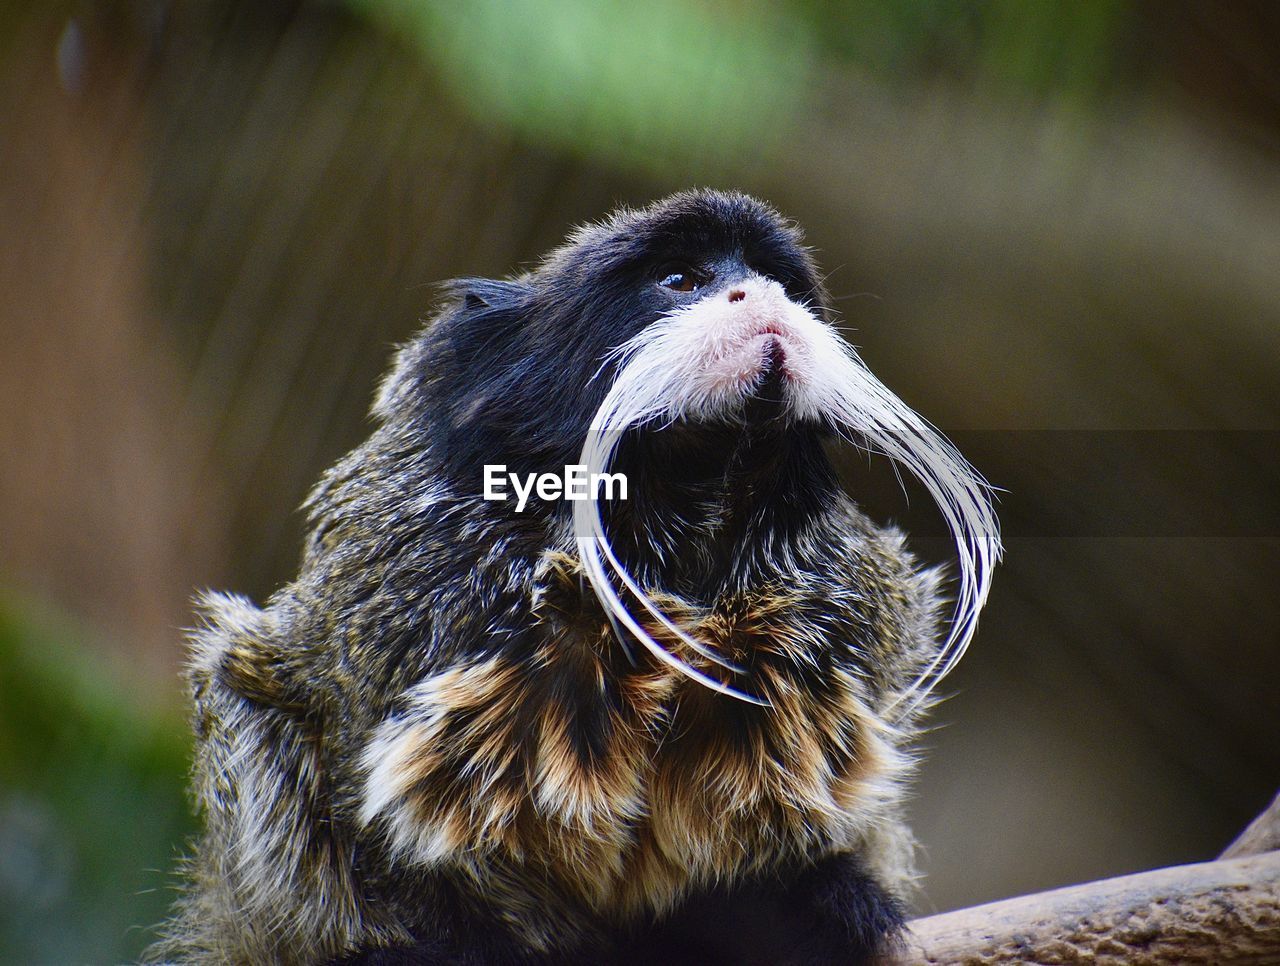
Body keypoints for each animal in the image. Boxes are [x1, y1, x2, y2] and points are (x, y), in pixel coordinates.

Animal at [152, 190, 998, 966]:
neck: (673, 532)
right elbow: (315, 731)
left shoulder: (845, 600)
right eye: (682, 280)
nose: (755, 298)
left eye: (775, 281)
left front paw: (809, 900)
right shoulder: (411, 586)